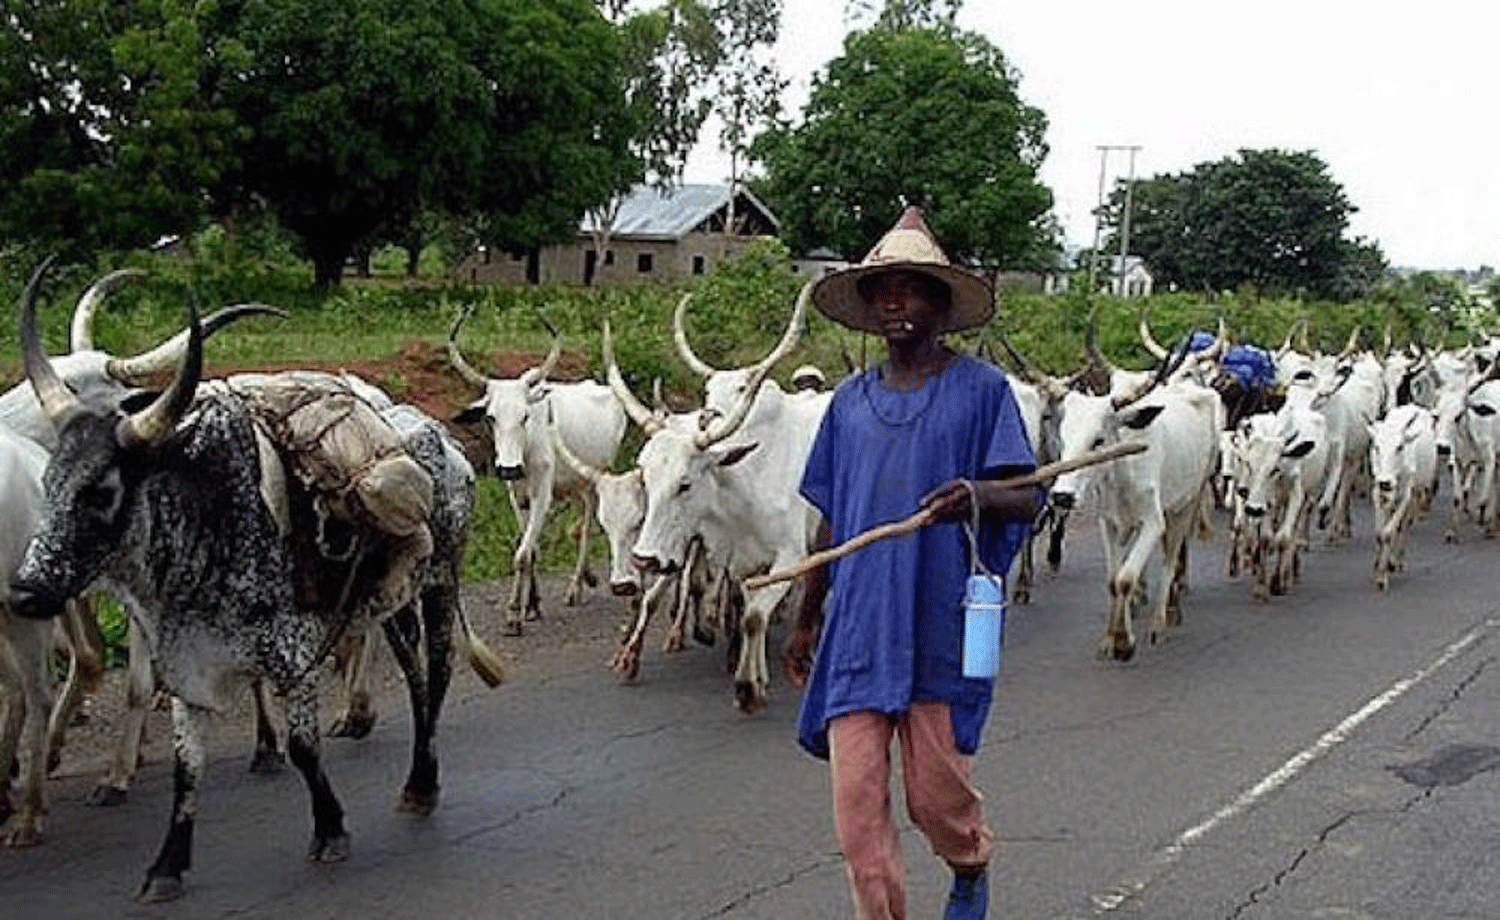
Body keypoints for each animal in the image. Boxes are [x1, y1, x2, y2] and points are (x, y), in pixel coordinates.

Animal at [450, 309, 627, 630]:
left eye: (524, 416)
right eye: (491, 418)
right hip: (577, 483)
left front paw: (513, 612)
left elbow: (522, 554)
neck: (528, 444)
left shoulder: (542, 495)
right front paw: (531, 605)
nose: (508, 468)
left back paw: (576, 586)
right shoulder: (517, 496)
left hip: (598, 476)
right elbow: (529, 549)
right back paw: (586, 577)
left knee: (587, 524)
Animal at [1050, 366, 1224, 660]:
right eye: (1063, 439)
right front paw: (1110, 637)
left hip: (1189, 499)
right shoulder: (1108, 522)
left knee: (1171, 559)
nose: (1062, 496)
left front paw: (1124, 642)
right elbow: (1113, 580)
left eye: (1098, 440)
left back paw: (1163, 619)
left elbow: (1126, 578)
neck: (1122, 469)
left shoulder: (1153, 522)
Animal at [1374, 405, 1440, 591]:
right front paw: (1378, 566)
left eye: (1399, 447)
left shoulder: (1405, 494)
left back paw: (1398, 560)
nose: (1386, 482)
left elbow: (1389, 531)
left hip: (1416, 489)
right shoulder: (1378, 491)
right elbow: (1380, 532)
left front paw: (1382, 577)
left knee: (1405, 524)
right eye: (1377, 447)